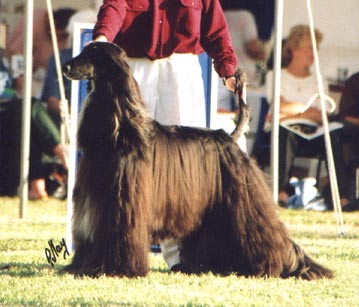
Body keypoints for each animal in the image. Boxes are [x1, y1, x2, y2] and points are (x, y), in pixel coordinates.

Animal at [62, 42, 334, 280]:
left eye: (91, 54)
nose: (65, 66)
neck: (120, 130)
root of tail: (230, 136)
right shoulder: (100, 201)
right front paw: (84, 267)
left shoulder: (125, 202)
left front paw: (119, 269)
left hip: (246, 201)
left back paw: (282, 267)